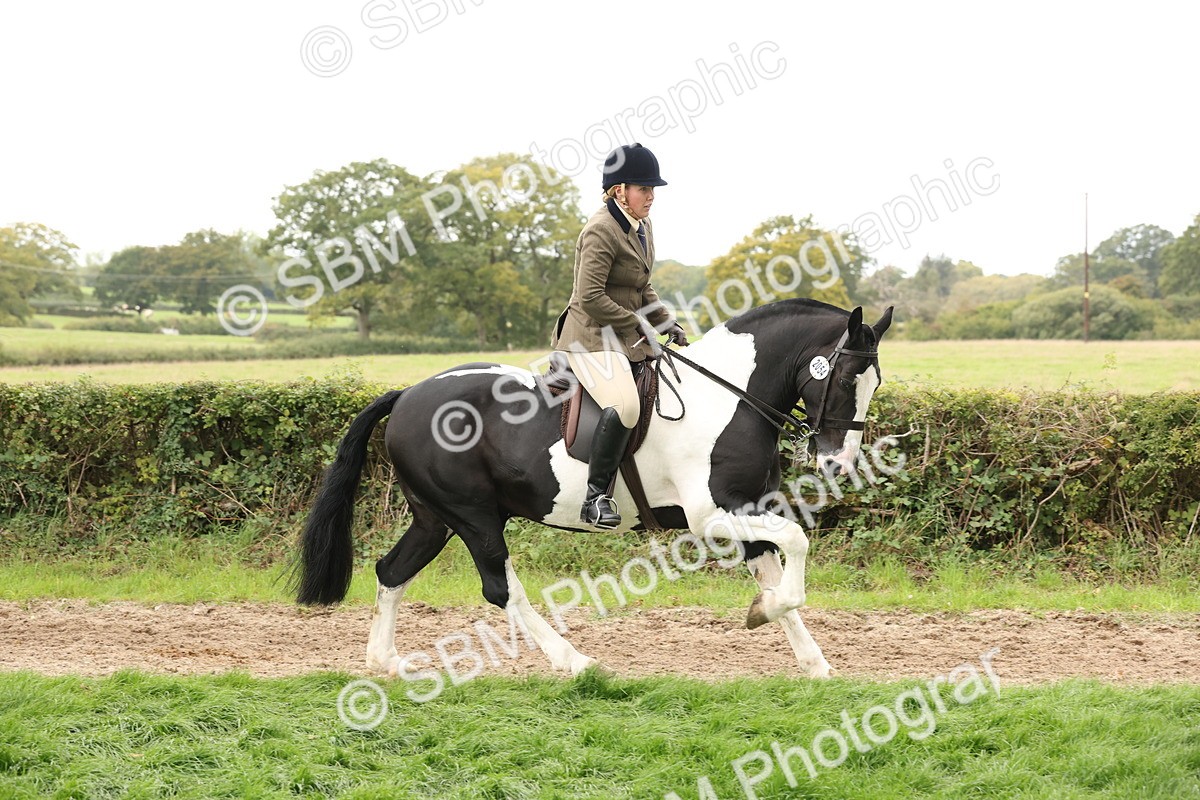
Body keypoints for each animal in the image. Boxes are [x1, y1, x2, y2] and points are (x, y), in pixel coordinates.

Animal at [296, 299, 893, 678]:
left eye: (876, 381)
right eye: (845, 378)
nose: (839, 463)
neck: (730, 399)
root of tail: (407, 395)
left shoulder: (747, 508)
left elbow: (776, 570)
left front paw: (811, 660)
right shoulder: (713, 517)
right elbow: (796, 543)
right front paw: (763, 613)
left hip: (435, 518)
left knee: (391, 571)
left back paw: (385, 662)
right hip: (472, 516)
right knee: (501, 588)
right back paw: (574, 661)